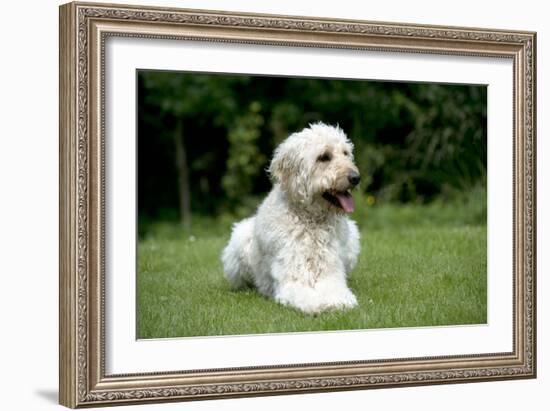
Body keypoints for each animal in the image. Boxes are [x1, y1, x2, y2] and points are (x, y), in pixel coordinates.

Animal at [222, 122, 360, 316]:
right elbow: (304, 295)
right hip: (239, 240)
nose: (356, 178)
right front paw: (318, 305)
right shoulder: (293, 278)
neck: (311, 220)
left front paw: (337, 302)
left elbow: (336, 290)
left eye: (346, 153)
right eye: (324, 157)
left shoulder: (330, 273)